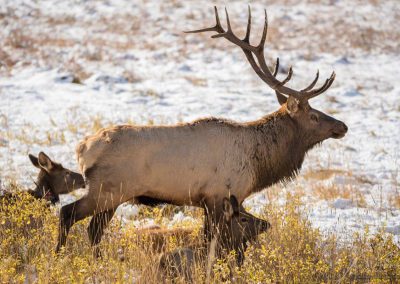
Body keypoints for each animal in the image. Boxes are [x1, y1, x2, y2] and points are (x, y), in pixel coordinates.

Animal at [55, 6, 346, 255]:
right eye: (314, 116)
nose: (342, 126)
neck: (260, 163)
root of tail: (82, 148)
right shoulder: (219, 195)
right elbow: (212, 240)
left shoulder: (209, 201)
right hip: (108, 189)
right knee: (68, 214)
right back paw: (60, 255)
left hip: (112, 195)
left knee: (94, 230)